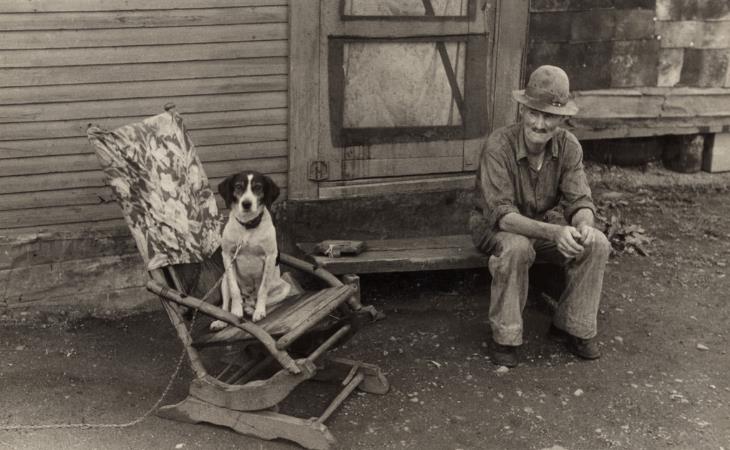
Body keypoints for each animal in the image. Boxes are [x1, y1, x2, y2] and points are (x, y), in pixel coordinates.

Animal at [208, 170, 290, 330]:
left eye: (258, 187)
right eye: (238, 187)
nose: (246, 204)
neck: (248, 226)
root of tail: (248, 298)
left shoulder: (270, 257)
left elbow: (263, 289)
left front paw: (259, 311)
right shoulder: (227, 256)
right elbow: (234, 290)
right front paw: (236, 310)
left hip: (284, 287)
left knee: (263, 299)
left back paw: (253, 308)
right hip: (224, 280)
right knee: (226, 303)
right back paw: (225, 319)